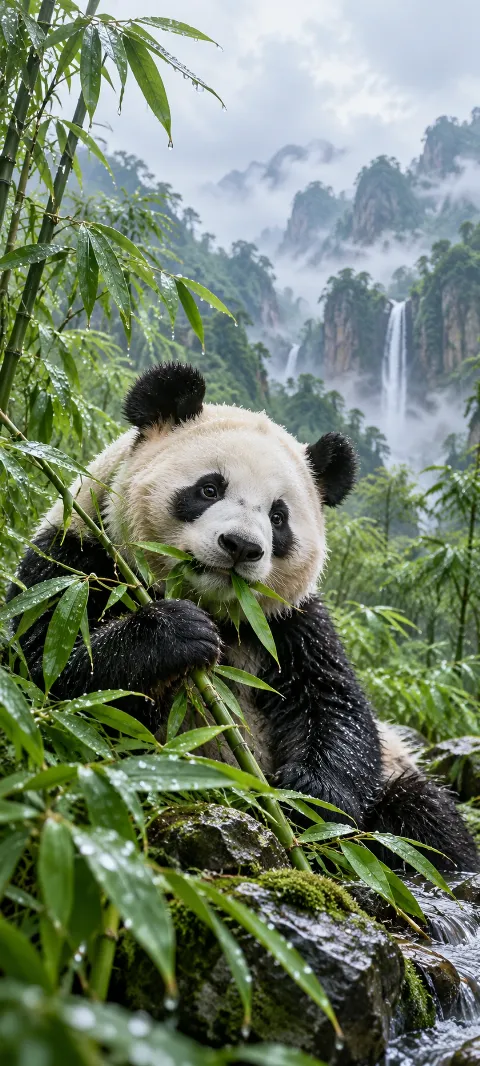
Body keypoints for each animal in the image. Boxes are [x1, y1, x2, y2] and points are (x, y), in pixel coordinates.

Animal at [9, 362, 477, 871]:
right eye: (209, 488)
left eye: (278, 517)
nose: (241, 546)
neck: (214, 607)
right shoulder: (75, 563)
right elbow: (47, 677)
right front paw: (172, 635)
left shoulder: (288, 622)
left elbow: (335, 702)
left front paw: (311, 796)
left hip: (396, 784)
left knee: (425, 821)